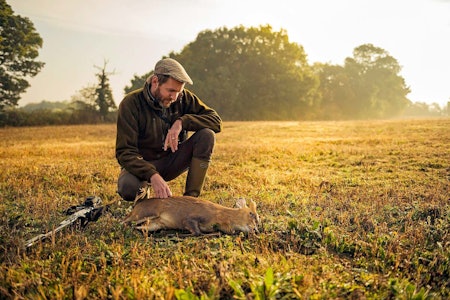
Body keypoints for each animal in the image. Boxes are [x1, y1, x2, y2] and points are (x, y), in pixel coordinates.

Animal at [122, 196, 260, 236]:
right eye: (251, 214)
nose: (256, 230)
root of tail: (137, 206)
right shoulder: (189, 218)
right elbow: (197, 232)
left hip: (154, 224)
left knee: (139, 227)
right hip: (145, 214)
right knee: (124, 221)